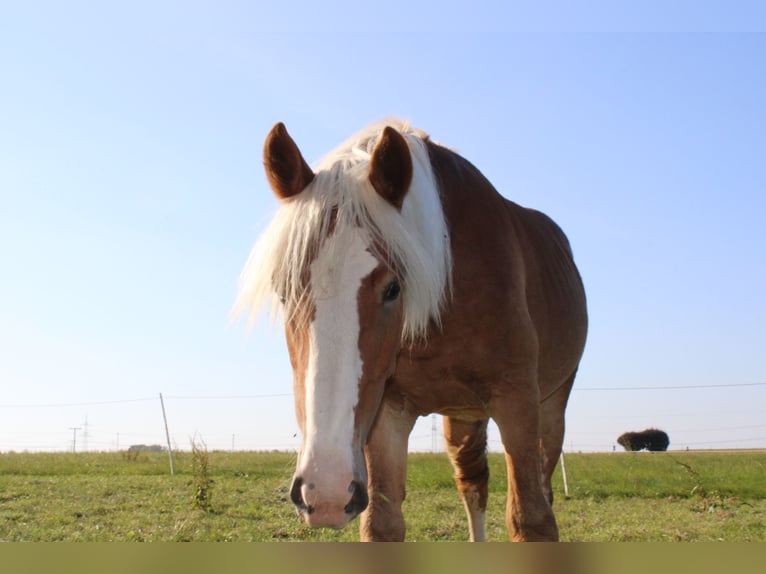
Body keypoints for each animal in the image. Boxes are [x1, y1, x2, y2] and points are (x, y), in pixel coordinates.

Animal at [237, 121, 592, 544]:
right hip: (463, 416)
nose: (324, 492)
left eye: (393, 288)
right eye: (283, 290)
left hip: (551, 407)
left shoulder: (517, 399)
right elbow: (382, 523)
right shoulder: (387, 412)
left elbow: (532, 519)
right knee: (472, 483)